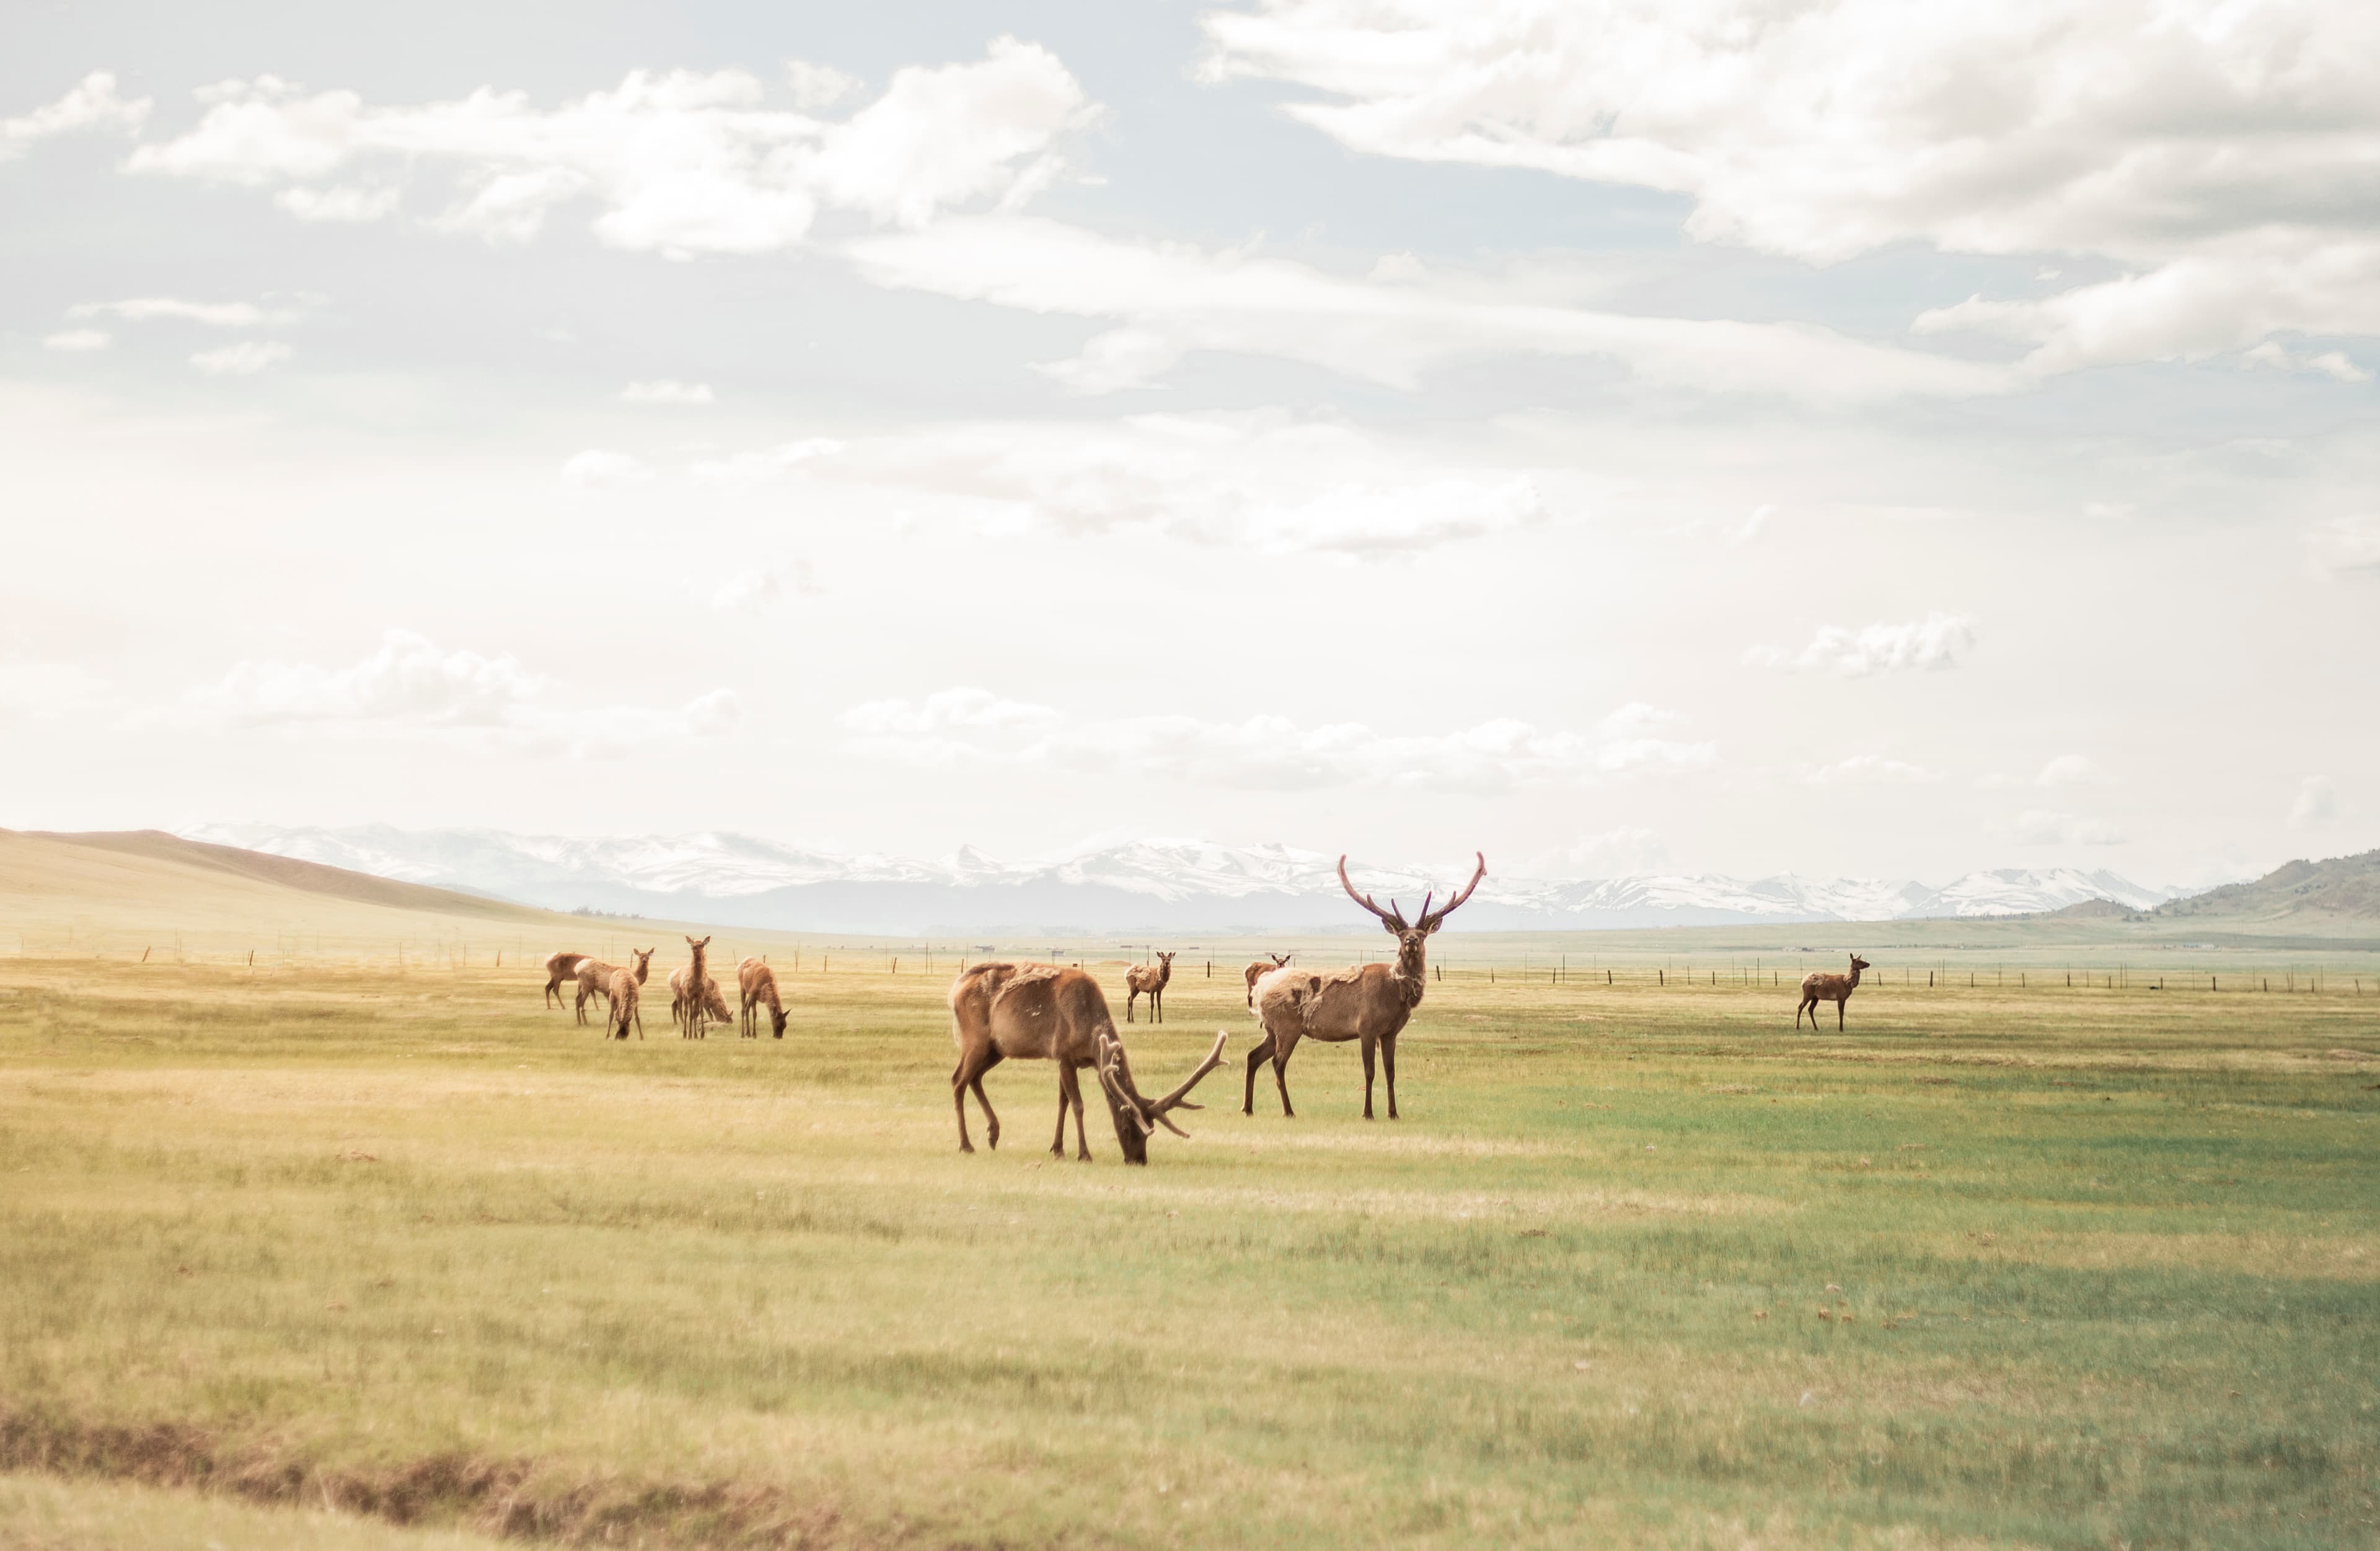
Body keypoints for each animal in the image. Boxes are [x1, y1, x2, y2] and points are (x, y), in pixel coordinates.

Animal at [566, 947, 652, 1027]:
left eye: (648, 957)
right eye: (640, 956)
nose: (644, 961)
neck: (636, 977)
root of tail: (577, 968)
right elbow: (617, 1009)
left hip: (582, 984)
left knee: (577, 999)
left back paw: (579, 1022)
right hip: (587, 984)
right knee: (581, 1001)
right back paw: (585, 1022)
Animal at [738, 951, 785, 1037]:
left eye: (785, 1026)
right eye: (778, 1024)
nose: (779, 1037)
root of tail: (740, 964)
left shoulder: (753, 996)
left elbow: (751, 1011)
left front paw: (751, 1034)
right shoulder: (754, 995)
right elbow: (754, 1014)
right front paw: (753, 1034)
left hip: (749, 992)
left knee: (746, 1007)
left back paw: (746, 1033)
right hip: (742, 987)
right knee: (743, 1009)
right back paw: (743, 1034)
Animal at [947, 961, 1228, 1170]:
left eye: (1152, 1129)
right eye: (1127, 1127)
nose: (1139, 1160)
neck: (1090, 1034)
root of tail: (955, 989)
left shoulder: (1069, 1060)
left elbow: (1063, 1102)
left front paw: (1058, 1149)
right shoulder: (1062, 1053)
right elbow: (1078, 1104)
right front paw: (1084, 1154)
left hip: (996, 1049)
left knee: (974, 1079)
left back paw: (993, 1134)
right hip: (975, 1040)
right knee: (958, 1081)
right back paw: (966, 1144)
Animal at [1256, 856, 1475, 1123]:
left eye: (1422, 934)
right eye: (1401, 934)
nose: (1411, 941)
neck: (1396, 997)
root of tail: (1260, 993)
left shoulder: (1390, 1033)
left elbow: (1391, 1072)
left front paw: (1394, 1113)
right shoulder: (1366, 1028)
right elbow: (1369, 1072)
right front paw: (1368, 1113)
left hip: (1272, 1030)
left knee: (1254, 1057)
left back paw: (1249, 1108)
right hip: (1288, 1028)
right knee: (1278, 1063)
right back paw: (1288, 1110)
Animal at [1799, 951, 1875, 1037]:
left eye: (1861, 960)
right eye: (1858, 961)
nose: (1868, 964)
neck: (1847, 983)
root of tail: (1803, 981)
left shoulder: (1844, 999)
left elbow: (1842, 1013)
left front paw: (1842, 1029)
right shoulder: (1839, 997)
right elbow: (1840, 1013)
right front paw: (1841, 1029)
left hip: (1815, 997)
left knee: (1810, 1009)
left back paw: (1816, 1028)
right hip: (1808, 994)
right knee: (1800, 1007)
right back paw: (1797, 1027)